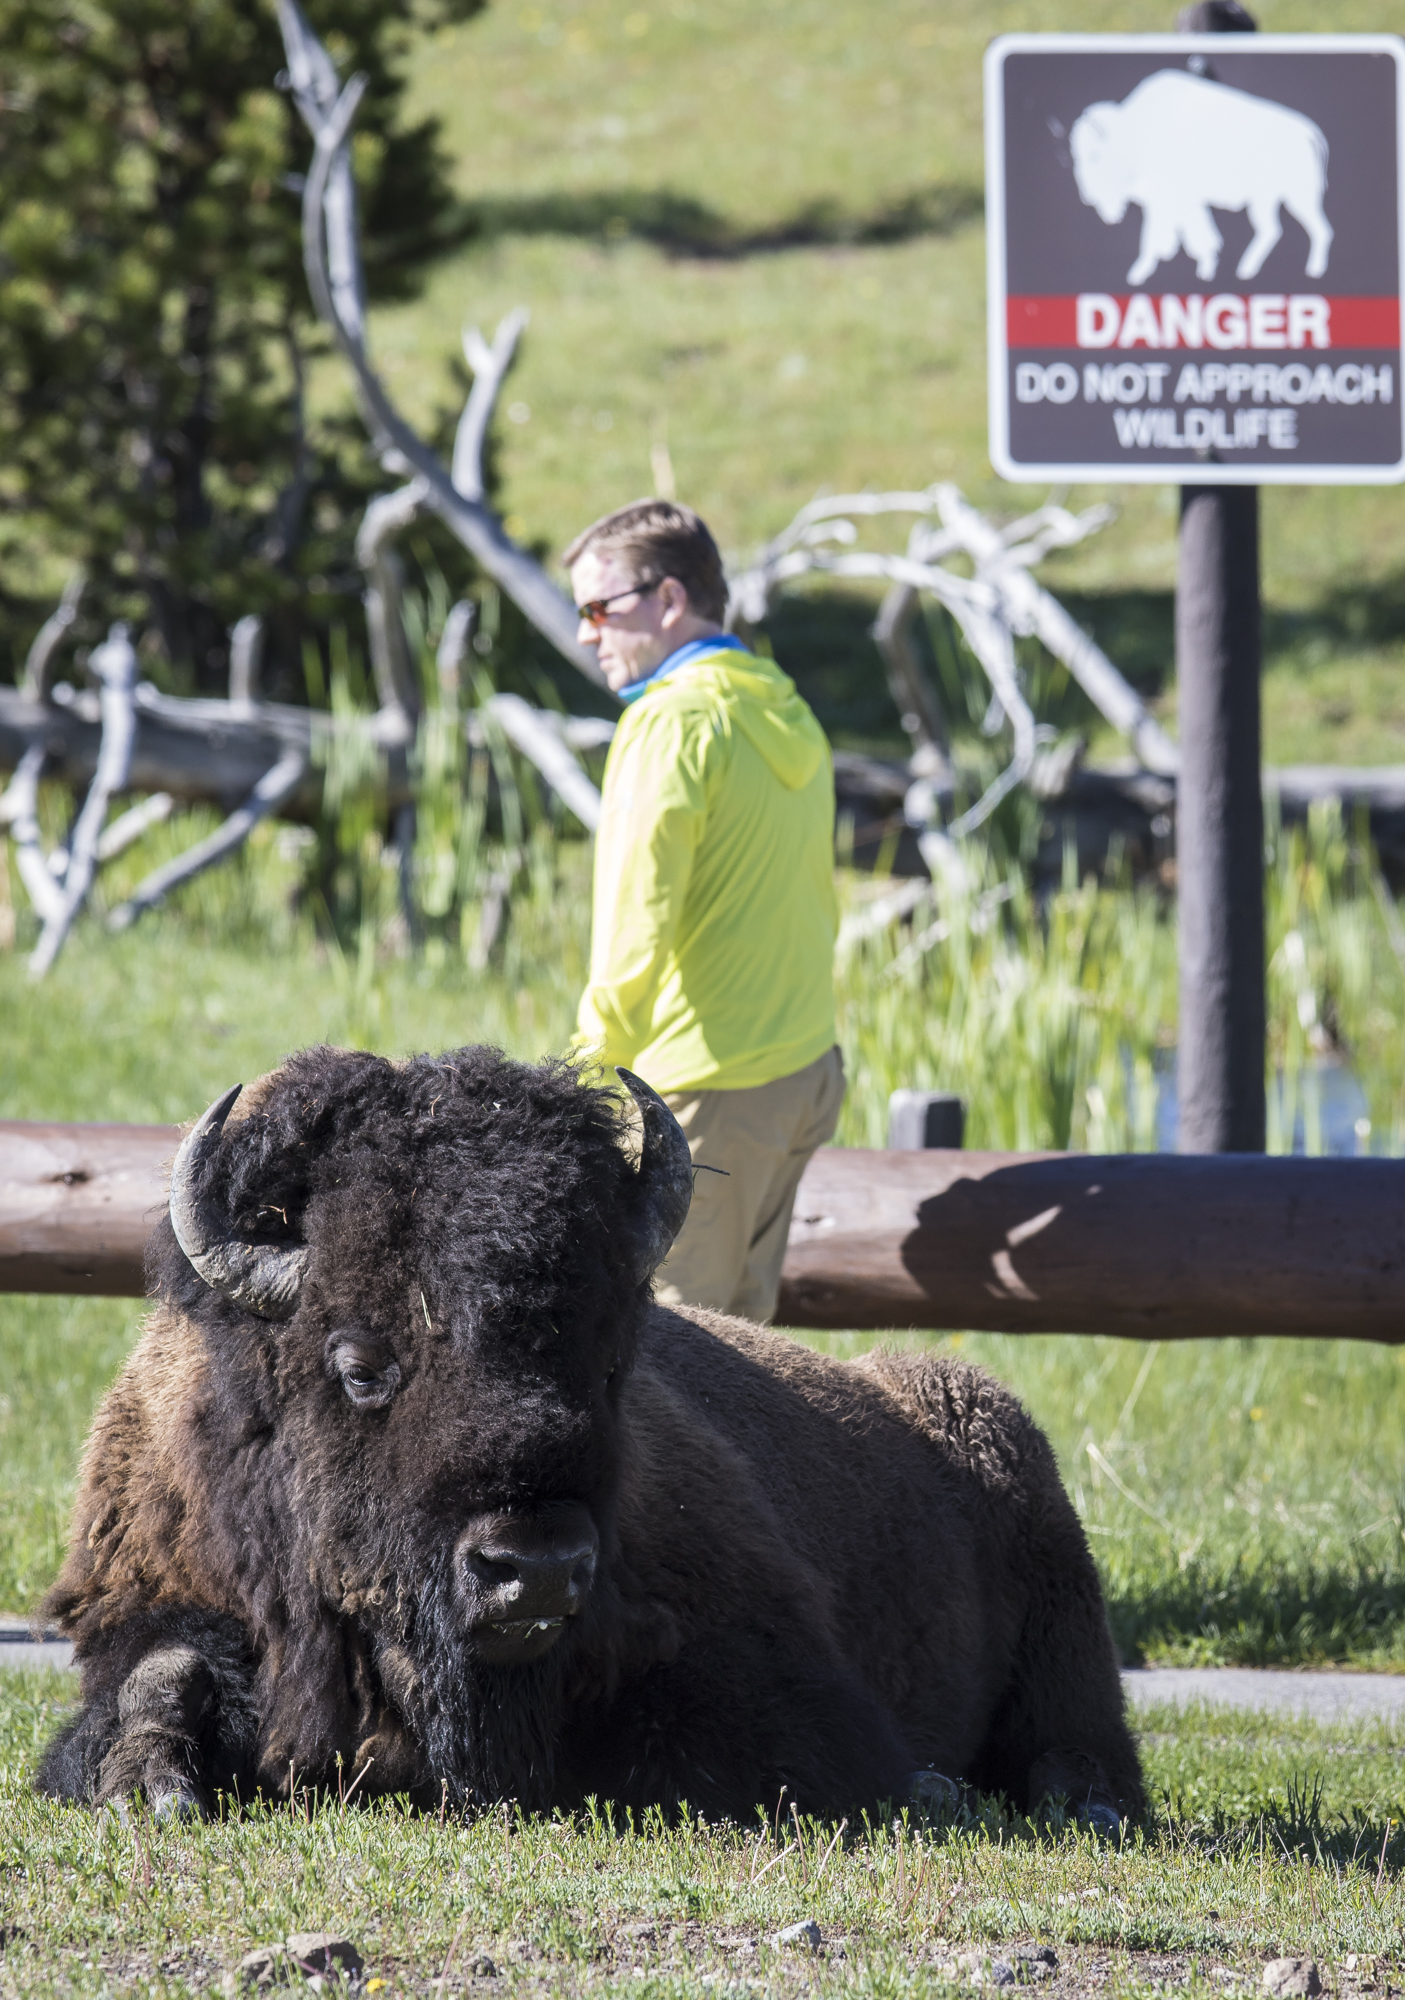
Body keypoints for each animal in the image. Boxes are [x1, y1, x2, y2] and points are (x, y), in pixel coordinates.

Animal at [39, 1045, 1142, 1827]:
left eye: (612, 1361)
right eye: (358, 1364)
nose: (533, 1568)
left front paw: (921, 1787)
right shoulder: (149, 1600)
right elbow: (160, 1673)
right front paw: (150, 1787)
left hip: (1064, 1618)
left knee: (1078, 1742)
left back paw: (1061, 1802)